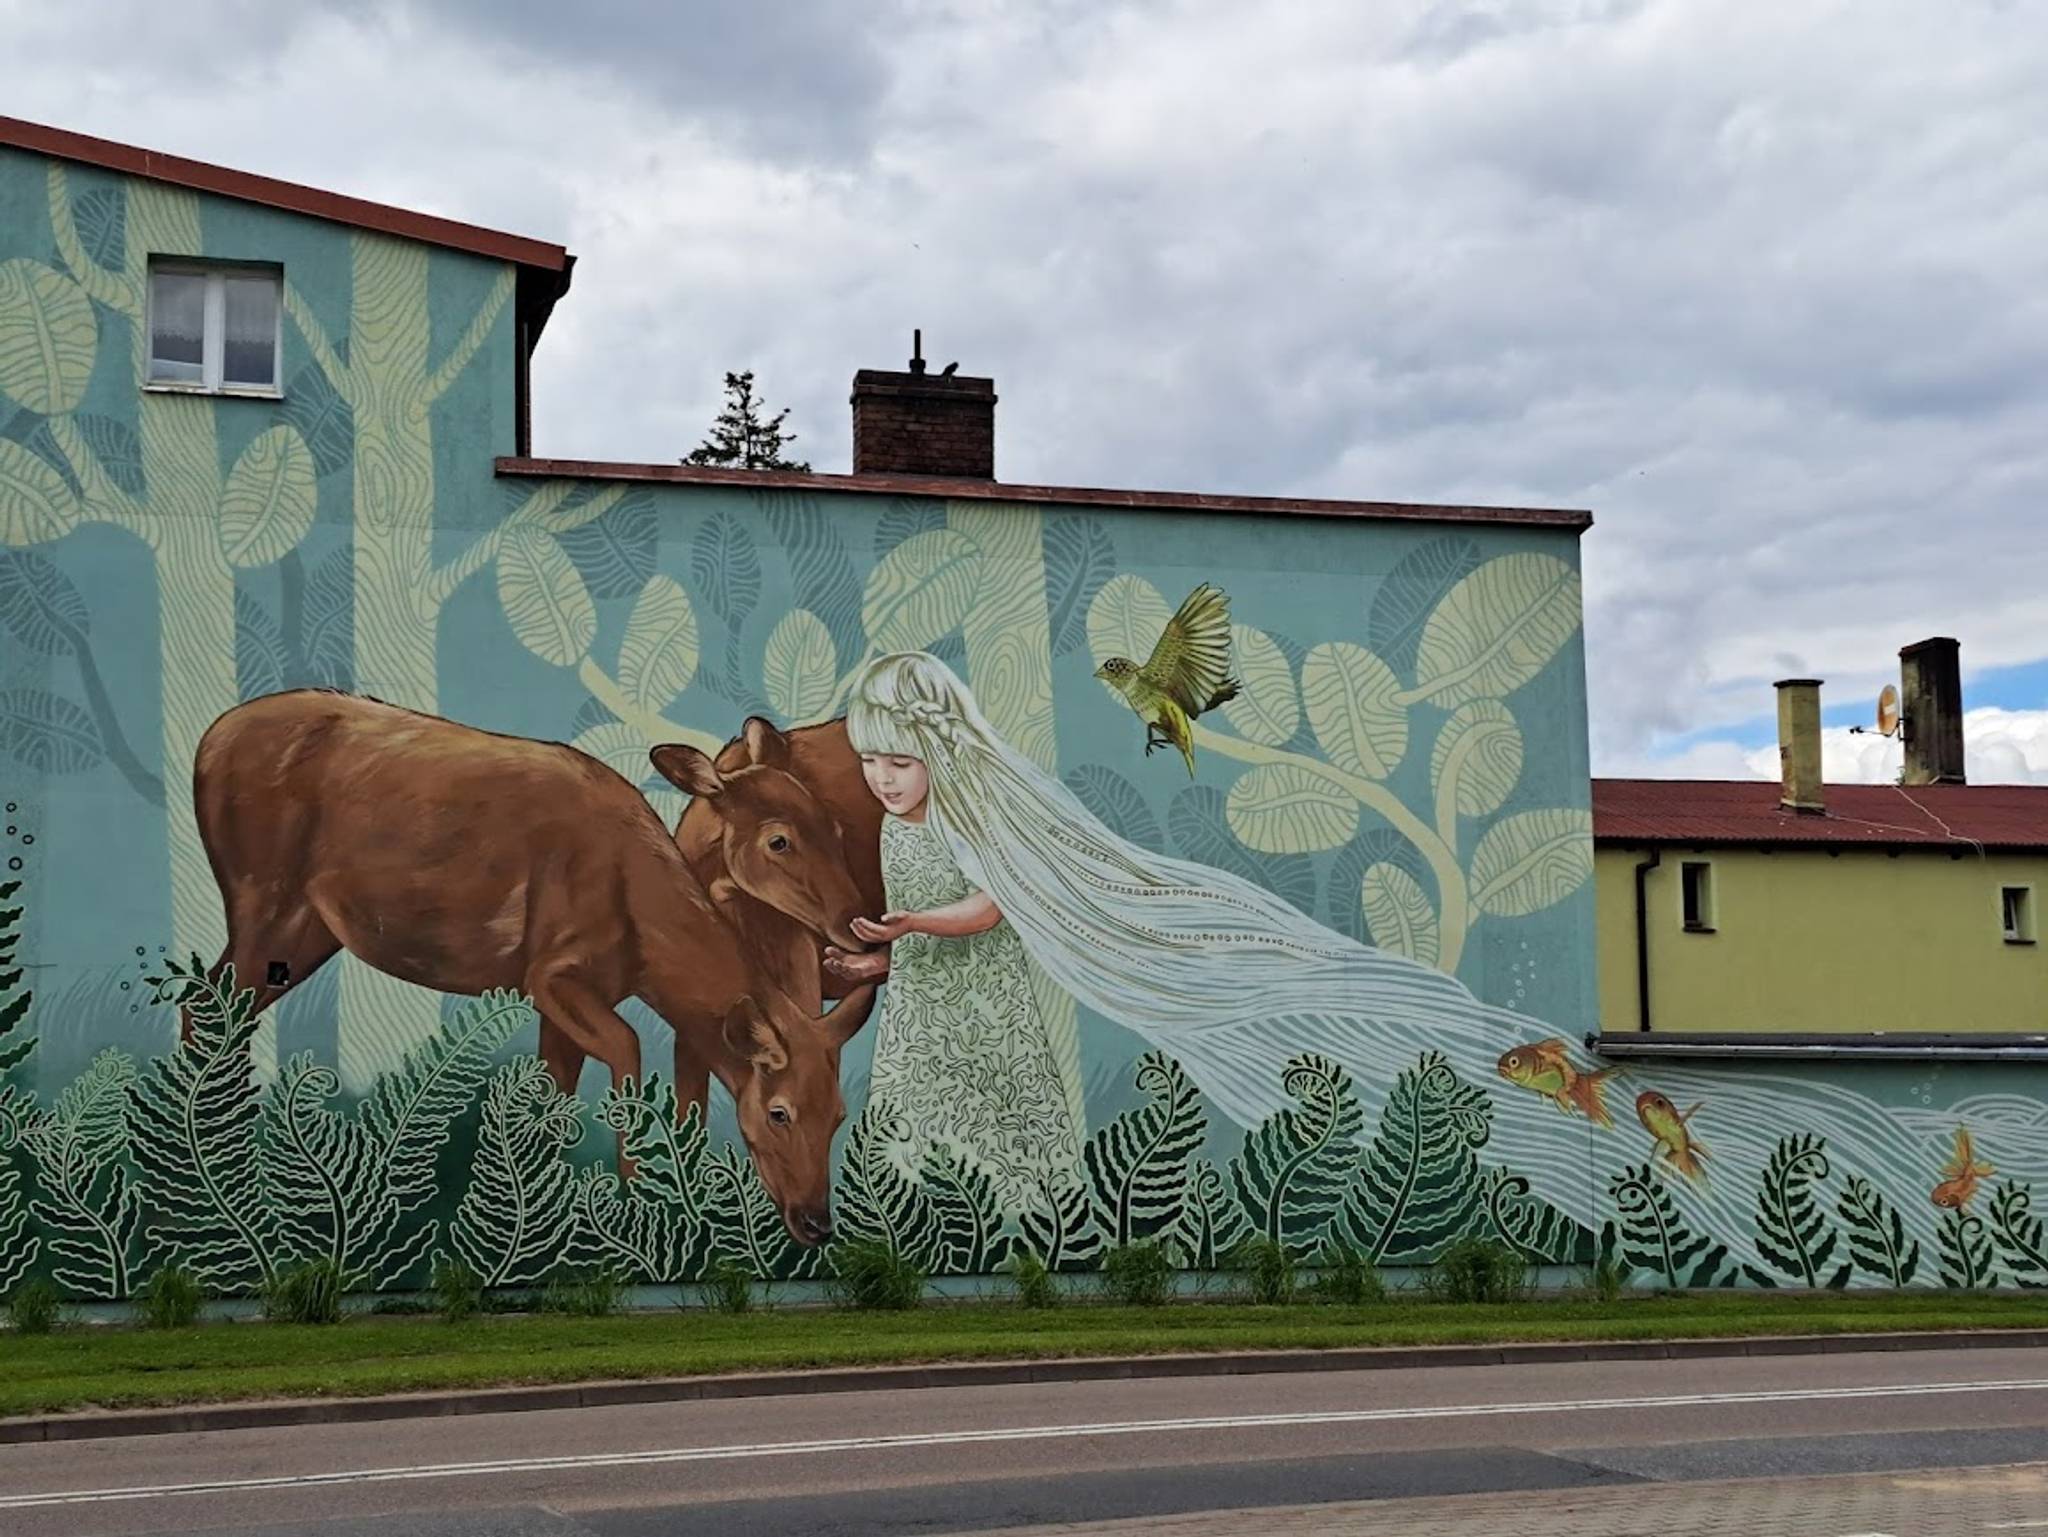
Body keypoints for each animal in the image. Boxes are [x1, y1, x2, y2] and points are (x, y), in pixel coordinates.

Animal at [186, 692, 872, 1245]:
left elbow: (552, 1092)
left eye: (840, 1114)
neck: (642, 932)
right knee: (206, 1002)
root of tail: (206, 742)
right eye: (779, 1111)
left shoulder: (569, 991)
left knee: (220, 1007)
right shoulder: (550, 970)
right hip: (260, 893)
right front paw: (635, 1201)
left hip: (308, 927)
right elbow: (625, 1051)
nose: (817, 1222)